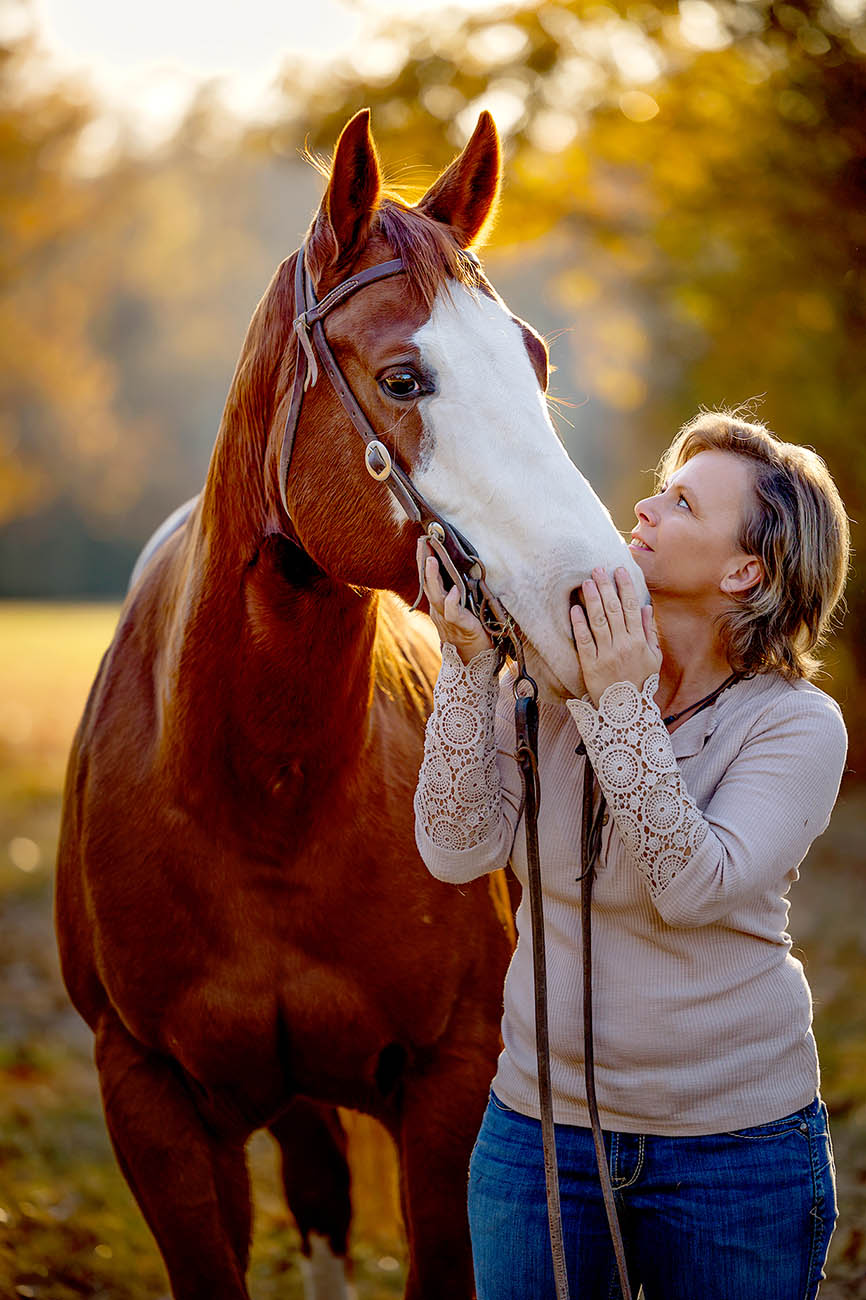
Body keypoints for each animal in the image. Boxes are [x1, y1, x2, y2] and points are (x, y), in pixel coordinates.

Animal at [53, 111, 644, 1300]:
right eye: (404, 377)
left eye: (534, 360)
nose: (602, 600)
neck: (257, 794)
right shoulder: (148, 1098)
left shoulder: (454, 1078)